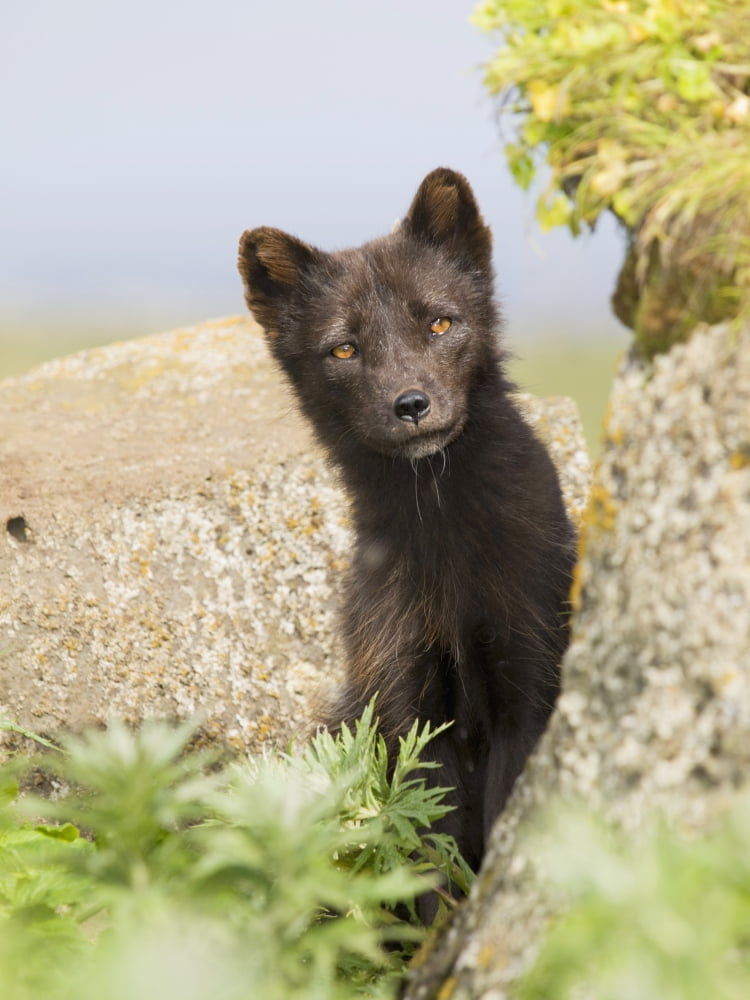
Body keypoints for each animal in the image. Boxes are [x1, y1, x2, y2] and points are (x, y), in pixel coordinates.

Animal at [237, 167, 576, 880]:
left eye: (440, 322)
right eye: (344, 348)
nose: (412, 404)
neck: (445, 540)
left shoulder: (529, 682)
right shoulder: (403, 704)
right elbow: (423, 857)